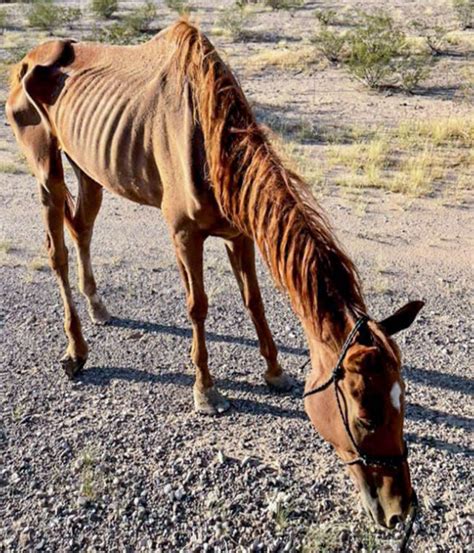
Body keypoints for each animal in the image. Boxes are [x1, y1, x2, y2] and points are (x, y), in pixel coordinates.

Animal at [6, 20, 422, 528]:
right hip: (47, 170)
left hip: (89, 170)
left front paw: (275, 370)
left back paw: (99, 307)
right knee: (58, 253)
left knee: (81, 229)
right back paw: (76, 350)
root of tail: (28, 59)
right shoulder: (185, 234)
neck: (209, 140)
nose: (400, 510)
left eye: (404, 403)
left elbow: (254, 302)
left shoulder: (239, 233)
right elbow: (198, 308)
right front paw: (206, 391)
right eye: (364, 417)